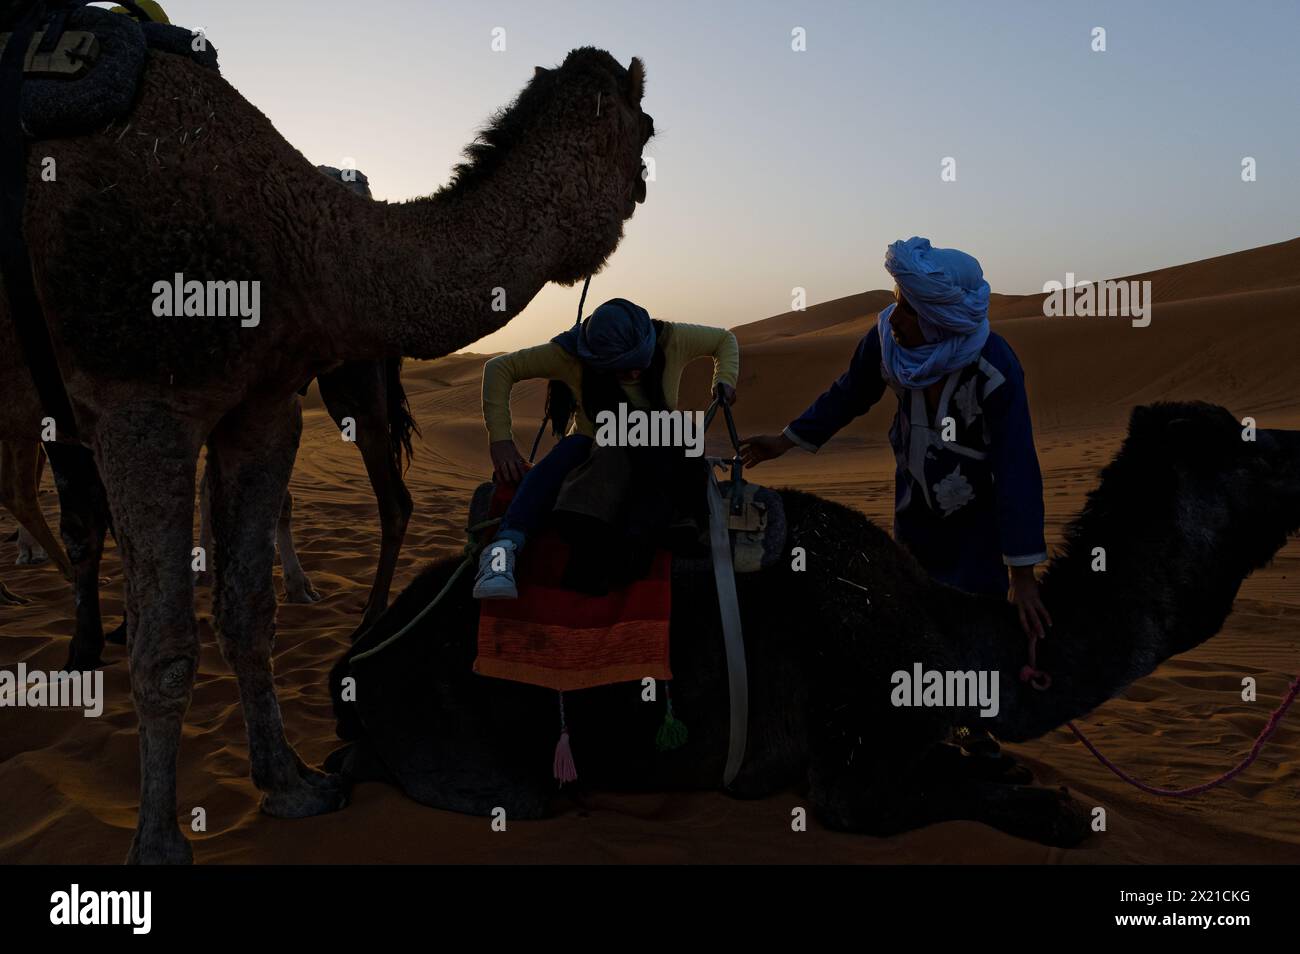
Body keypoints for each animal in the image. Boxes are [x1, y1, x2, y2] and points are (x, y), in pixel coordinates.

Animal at [0, 22, 650, 868]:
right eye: (646, 127)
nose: (643, 185)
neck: (296, 242)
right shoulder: (139, 401)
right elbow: (165, 640)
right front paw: (159, 841)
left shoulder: (261, 408)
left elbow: (247, 611)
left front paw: (291, 784)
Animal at [327, 402, 1300, 842]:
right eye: (1252, 449)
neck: (953, 640)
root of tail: (354, 664)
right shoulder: (851, 748)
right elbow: (886, 800)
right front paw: (1047, 804)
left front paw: (1007, 770)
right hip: (479, 754)